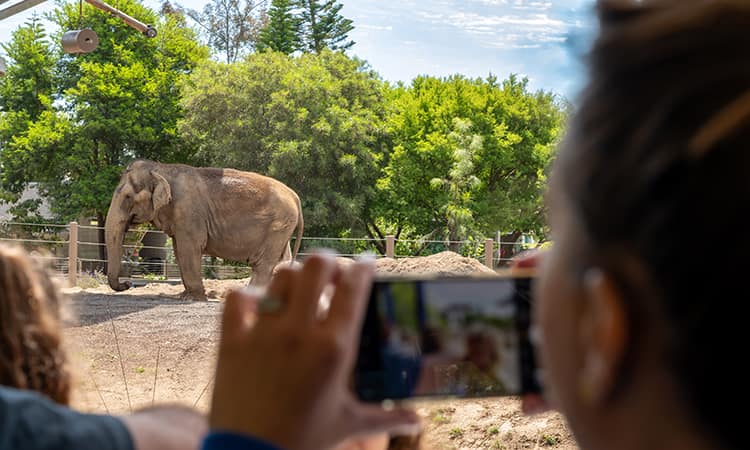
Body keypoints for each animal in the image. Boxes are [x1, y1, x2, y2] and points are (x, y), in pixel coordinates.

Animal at [106, 160, 306, 300]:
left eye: (128, 197)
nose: (128, 283)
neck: (162, 169)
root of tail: (295, 196)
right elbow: (179, 250)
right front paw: (185, 296)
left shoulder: (189, 213)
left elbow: (189, 249)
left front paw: (191, 298)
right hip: (282, 227)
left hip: (278, 225)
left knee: (263, 264)